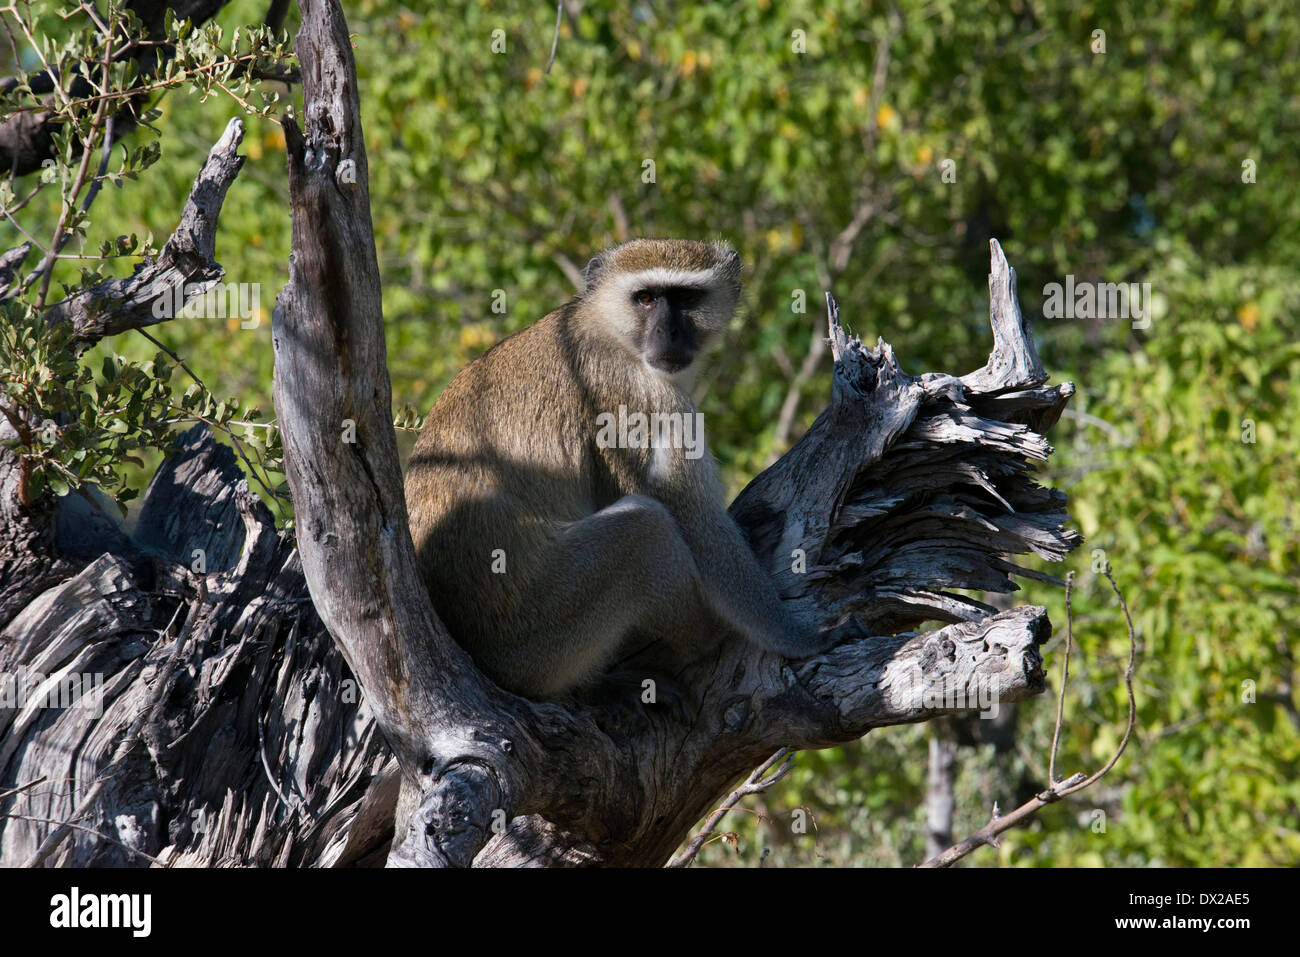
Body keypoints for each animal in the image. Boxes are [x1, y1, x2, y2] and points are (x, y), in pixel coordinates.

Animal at [404, 238, 839, 699]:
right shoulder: (645, 395)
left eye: (685, 298)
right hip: (535, 632)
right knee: (644, 529)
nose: (668, 333)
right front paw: (796, 635)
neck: (608, 326)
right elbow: (690, 520)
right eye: (645, 298)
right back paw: (705, 637)